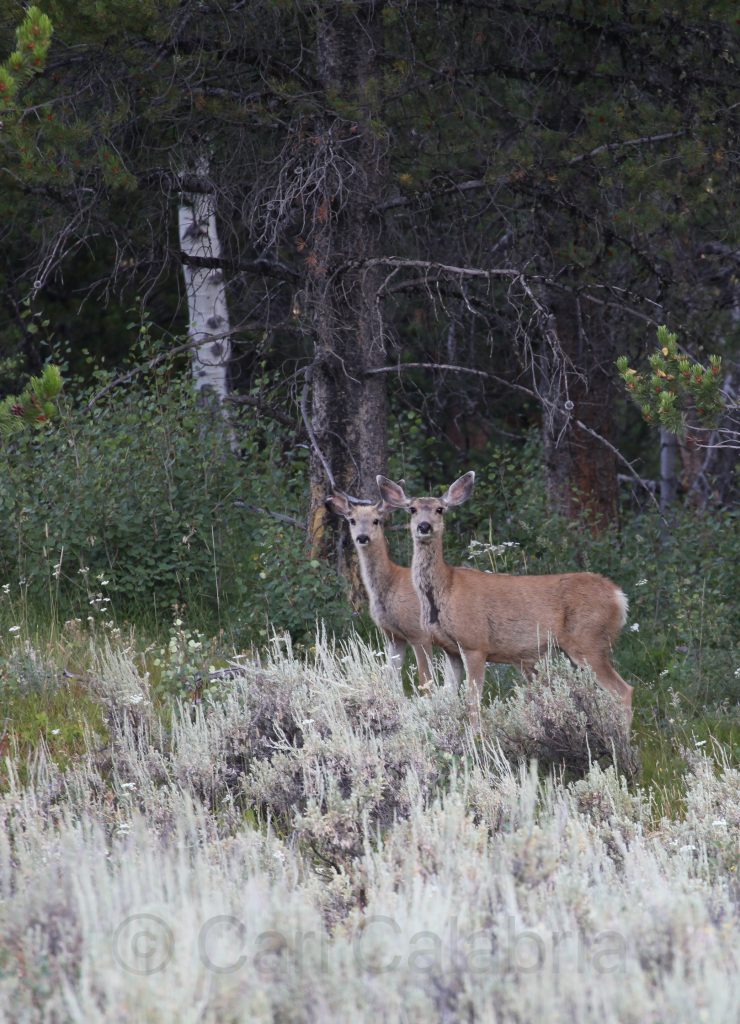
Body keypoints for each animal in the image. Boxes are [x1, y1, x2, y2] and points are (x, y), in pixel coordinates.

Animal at [326, 490, 464, 691]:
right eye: (352, 520)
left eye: (376, 520)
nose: (362, 537)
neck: (391, 583)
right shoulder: (393, 635)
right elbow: (391, 677)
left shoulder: (418, 633)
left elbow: (425, 680)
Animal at [376, 472, 633, 732]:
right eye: (412, 509)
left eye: (440, 509)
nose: (424, 526)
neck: (446, 588)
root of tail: (618, 596)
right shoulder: (451, 649)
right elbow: (448, 697)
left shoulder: (475, 643)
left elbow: (473, 702)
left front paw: (476, 737)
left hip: (588, 641)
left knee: (624, 691)